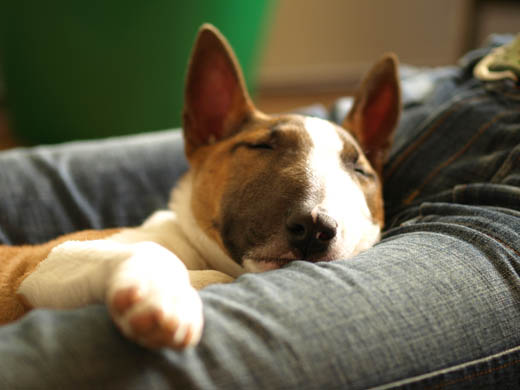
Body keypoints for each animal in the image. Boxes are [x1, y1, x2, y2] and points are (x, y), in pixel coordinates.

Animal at [0, 24, 402, 348]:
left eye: (359, 169)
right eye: (262, 146)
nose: (315, 228)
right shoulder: (41, 263)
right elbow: (161, 254)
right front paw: (161, 299)